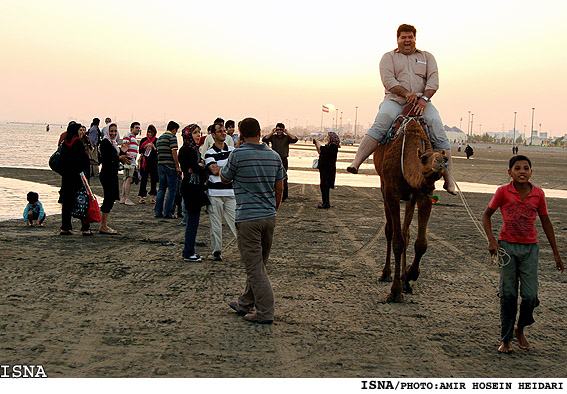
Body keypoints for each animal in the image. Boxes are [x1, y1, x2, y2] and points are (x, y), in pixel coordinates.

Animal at [372, 117, 448, 302]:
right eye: (425, 158)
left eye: (445, 158)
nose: (440, 164)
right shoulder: (392, 193)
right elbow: (397, 241)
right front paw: (395, 292)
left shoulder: (423, 194)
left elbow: (420, 243)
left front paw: (411, 274)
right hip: (383, 186)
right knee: (390, 230)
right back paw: (386, 274)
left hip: (410, 199)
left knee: (406, 233)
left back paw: (405, 281)